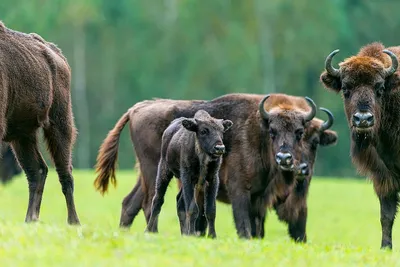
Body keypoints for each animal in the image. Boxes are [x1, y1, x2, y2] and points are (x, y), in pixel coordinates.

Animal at [146, 110, 233, 240]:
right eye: (203, 131)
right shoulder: (188, 177)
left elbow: (210, 210)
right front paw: (192, 234)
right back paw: (148, 231)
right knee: (157, 200)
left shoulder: (212, 179)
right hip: (164, 171)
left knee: (179, 201)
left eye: (222, 131)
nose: (220, 148)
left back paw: (183, 234)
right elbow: (192, 209)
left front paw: (212, 236)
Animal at [320, 41, 400, 249]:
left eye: (380, 87)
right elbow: (386, 215)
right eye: (346, 88)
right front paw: (385, 247)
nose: (363, 119)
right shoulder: (383, 176)